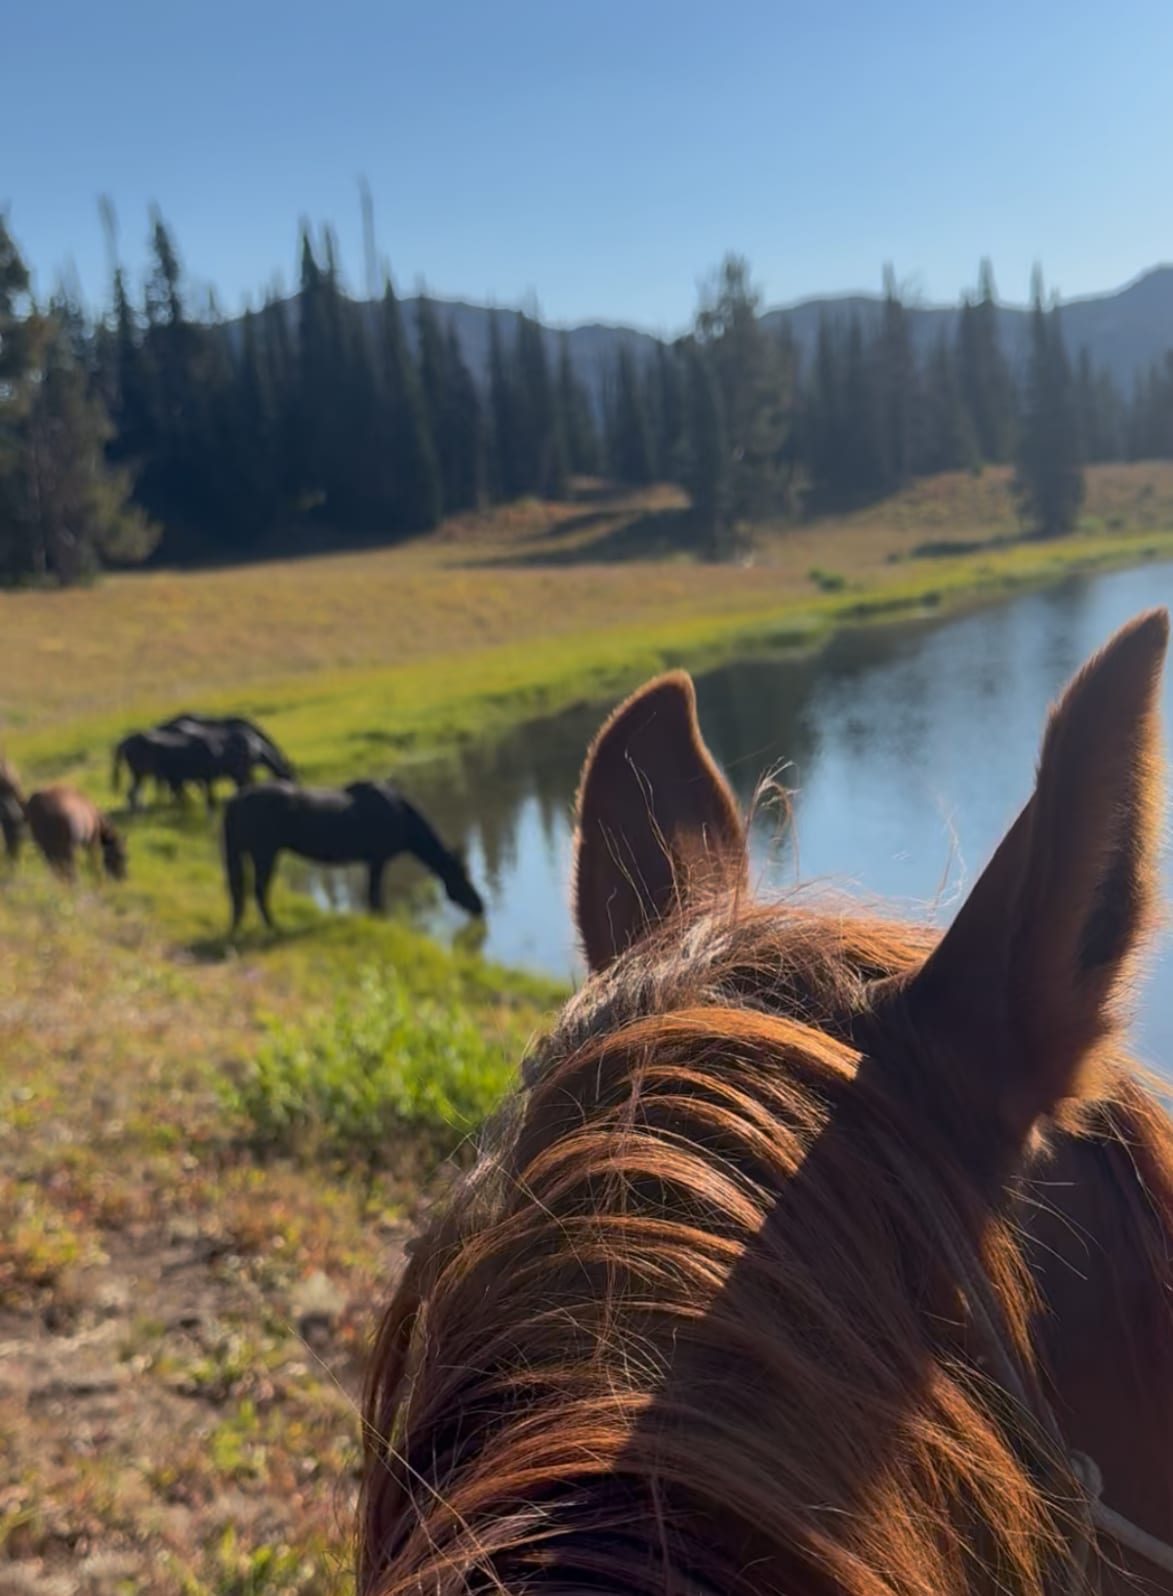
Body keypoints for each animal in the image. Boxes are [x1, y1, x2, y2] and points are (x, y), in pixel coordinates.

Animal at [112, 725, 266, 811]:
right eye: (241, 756)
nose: (253, 753)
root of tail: (126, 741)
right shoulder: (204, 779)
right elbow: (209, 799)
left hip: (139, 774)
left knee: (133, 793)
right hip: (140, 774)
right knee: (133, 793)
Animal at [221, 778, 485, 933]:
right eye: (462, 878)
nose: (480, 906)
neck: (402, 817)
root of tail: (236, 799)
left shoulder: (372, 862)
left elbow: (372, 896)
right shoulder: (378, 861)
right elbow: (374, 897)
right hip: (264, 854)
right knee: (258, 890)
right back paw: (275, 927)